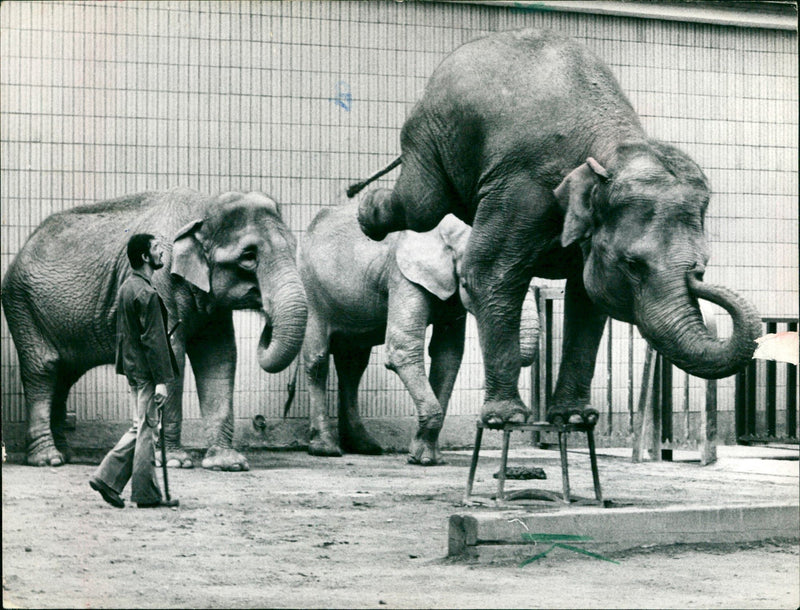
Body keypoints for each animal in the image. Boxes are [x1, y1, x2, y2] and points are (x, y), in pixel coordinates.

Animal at [2, 188, 310, 468]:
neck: (205, 203)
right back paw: (47, 459)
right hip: (22, 306)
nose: (267, 324)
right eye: (248, 256)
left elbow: (219, 357)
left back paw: (64, 455)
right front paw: (175, 462)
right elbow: (168, 350)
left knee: (64, 375)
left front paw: (228, 463)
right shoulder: (162, 282)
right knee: (44, 369)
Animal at [296, 192, 540, 464]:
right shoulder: (402, 274)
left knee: (353, 365)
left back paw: (365, 446)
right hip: (310, 286)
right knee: (318, 359)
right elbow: (403, 348)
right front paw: (421, 460)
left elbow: (448, 354)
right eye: (473, 280)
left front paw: (429, 459)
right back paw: (326, 449)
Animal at [356, 29, 764, 428]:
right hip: (430, 131)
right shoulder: (523, 190)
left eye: (702, 266)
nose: (697, 278)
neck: (609, 148)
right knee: (423, 205)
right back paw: (366, 211)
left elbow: (587, 298)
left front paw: (576, 417)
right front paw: (505, 419)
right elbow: (491, 273)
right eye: (633, 265)